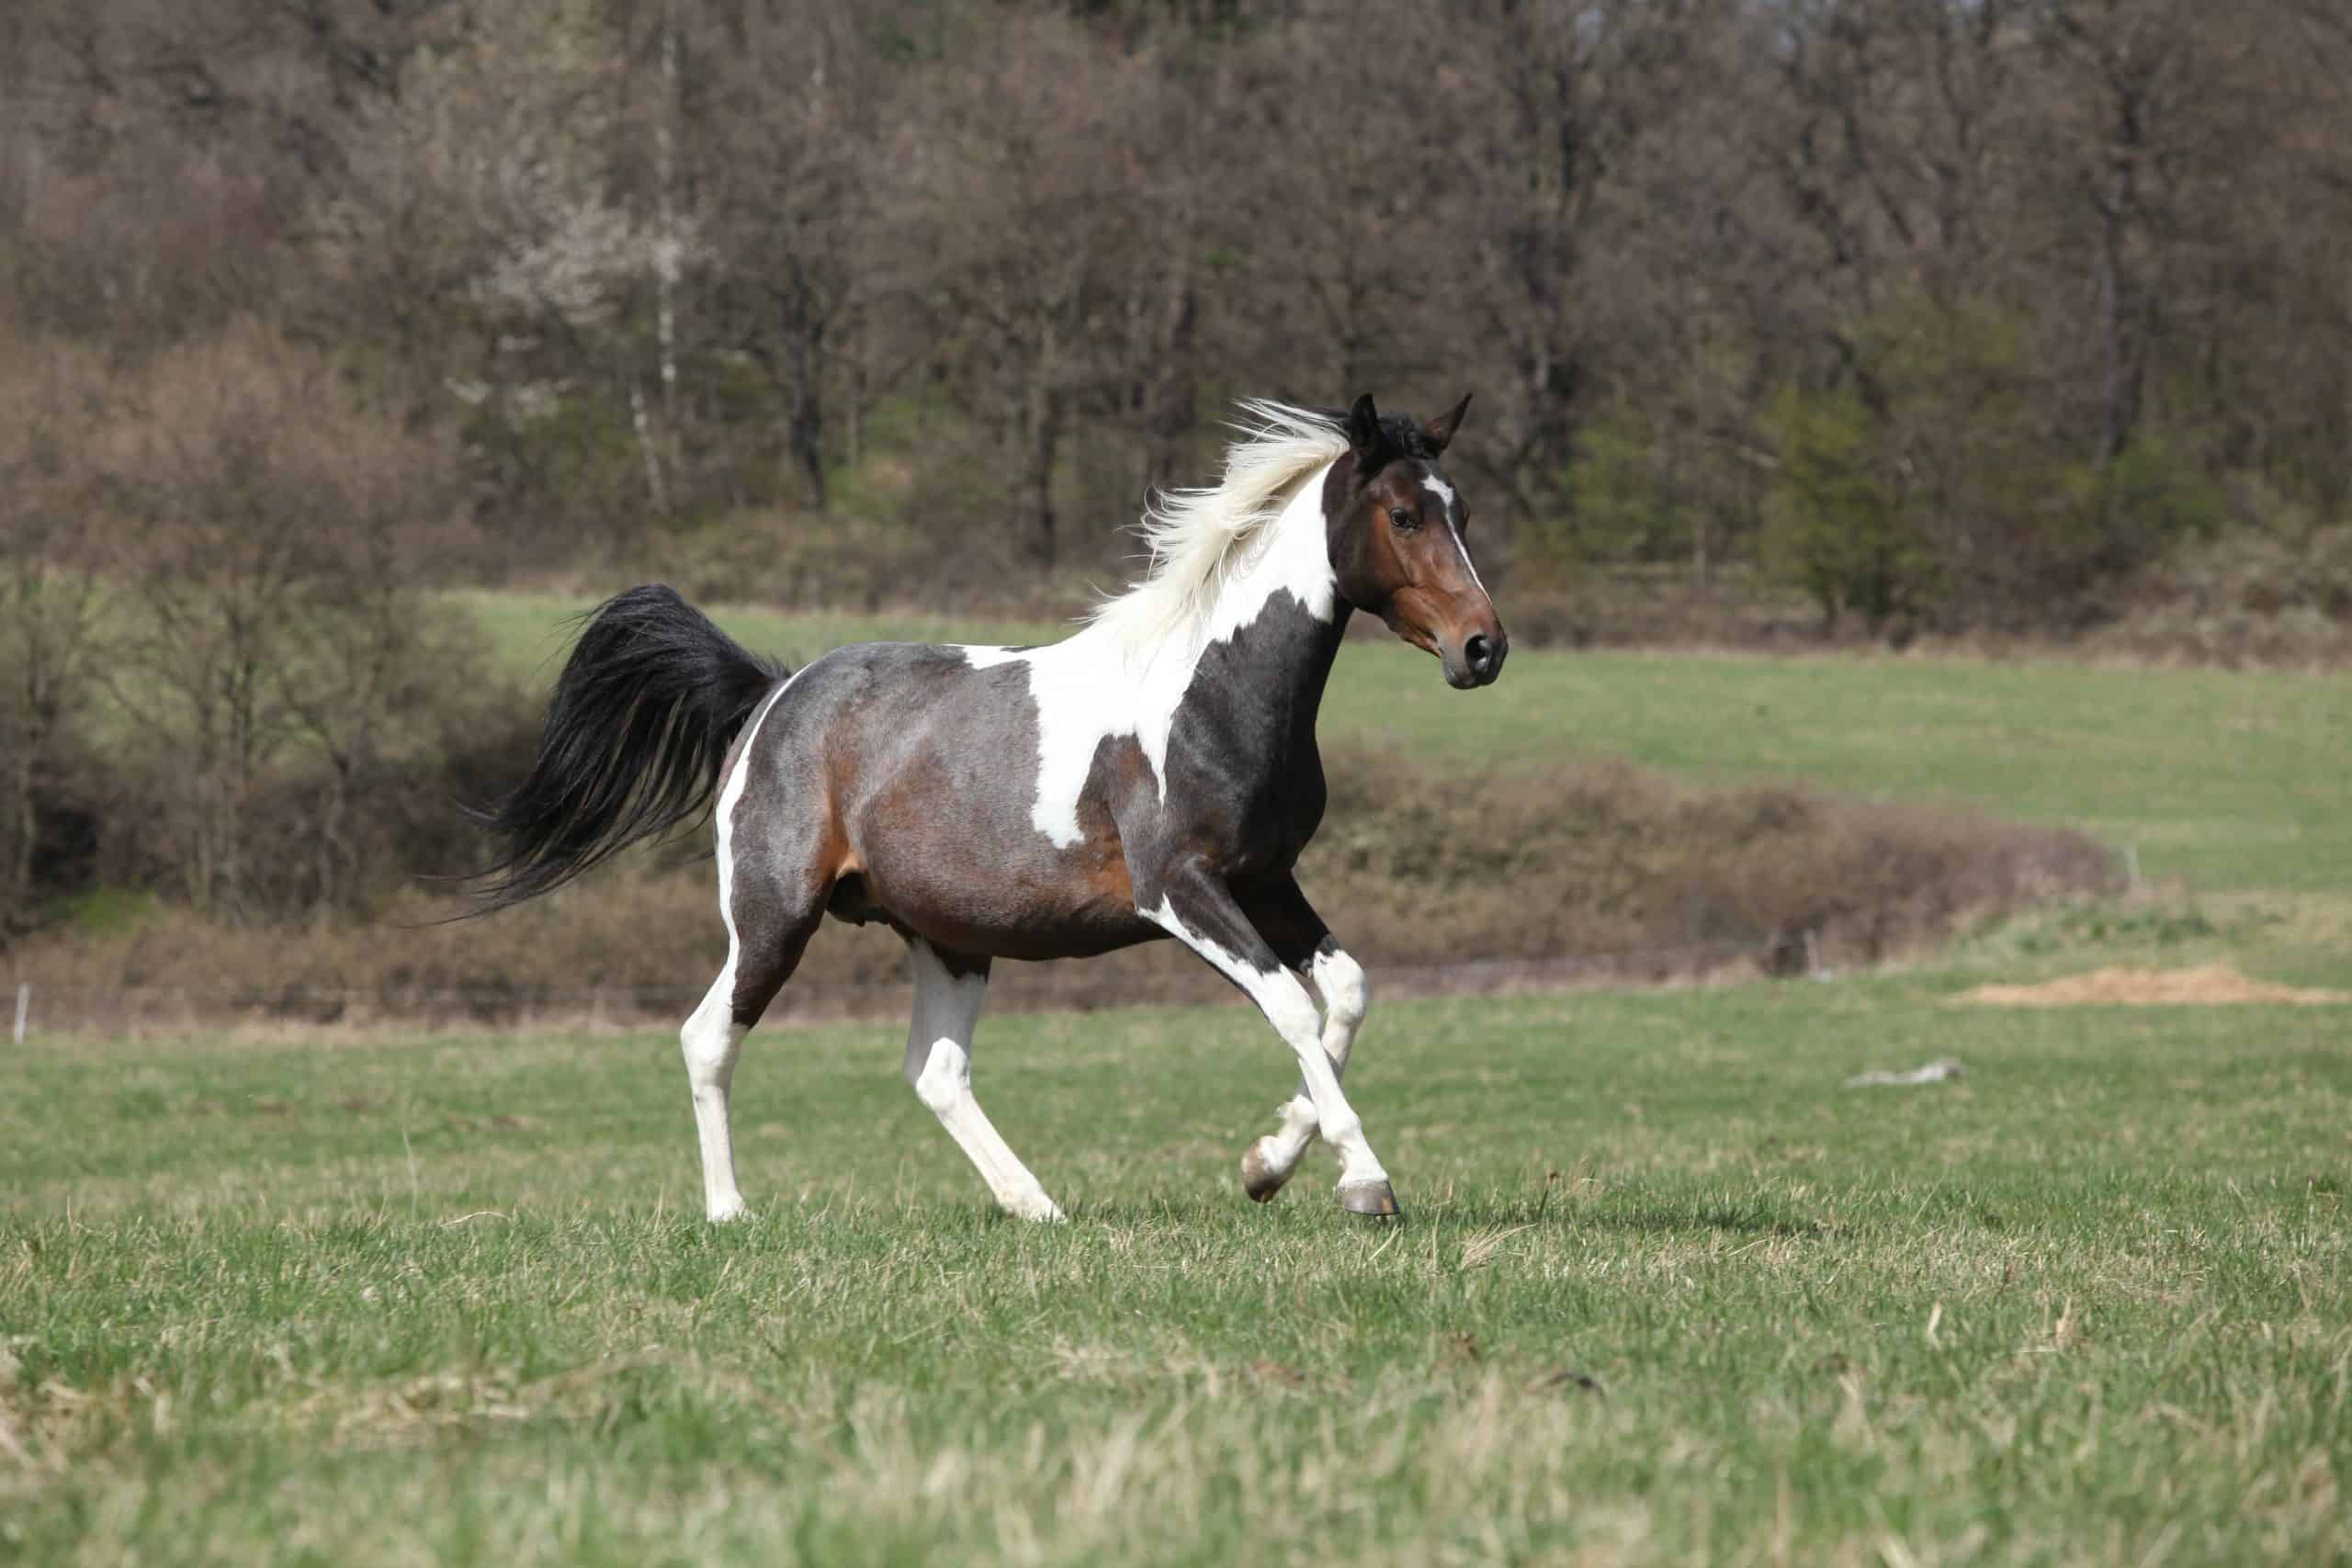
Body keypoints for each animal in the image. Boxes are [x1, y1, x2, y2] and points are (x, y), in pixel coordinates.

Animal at [468, 394, 1505, 1222]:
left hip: (950, 934)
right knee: (707, 1039)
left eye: (1461, 511)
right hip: (773, 918)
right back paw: (730, 1213)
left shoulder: (1268, 881)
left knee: (935, 1072)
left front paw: (1268, 1162)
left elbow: (1347, 994)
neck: (1210, 691)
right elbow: (1291, 1006)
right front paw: (1363, 1181)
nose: (1483, 648)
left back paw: (1035, 1205)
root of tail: (772, 692)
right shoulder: (1184, 890)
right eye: (1404, 513)